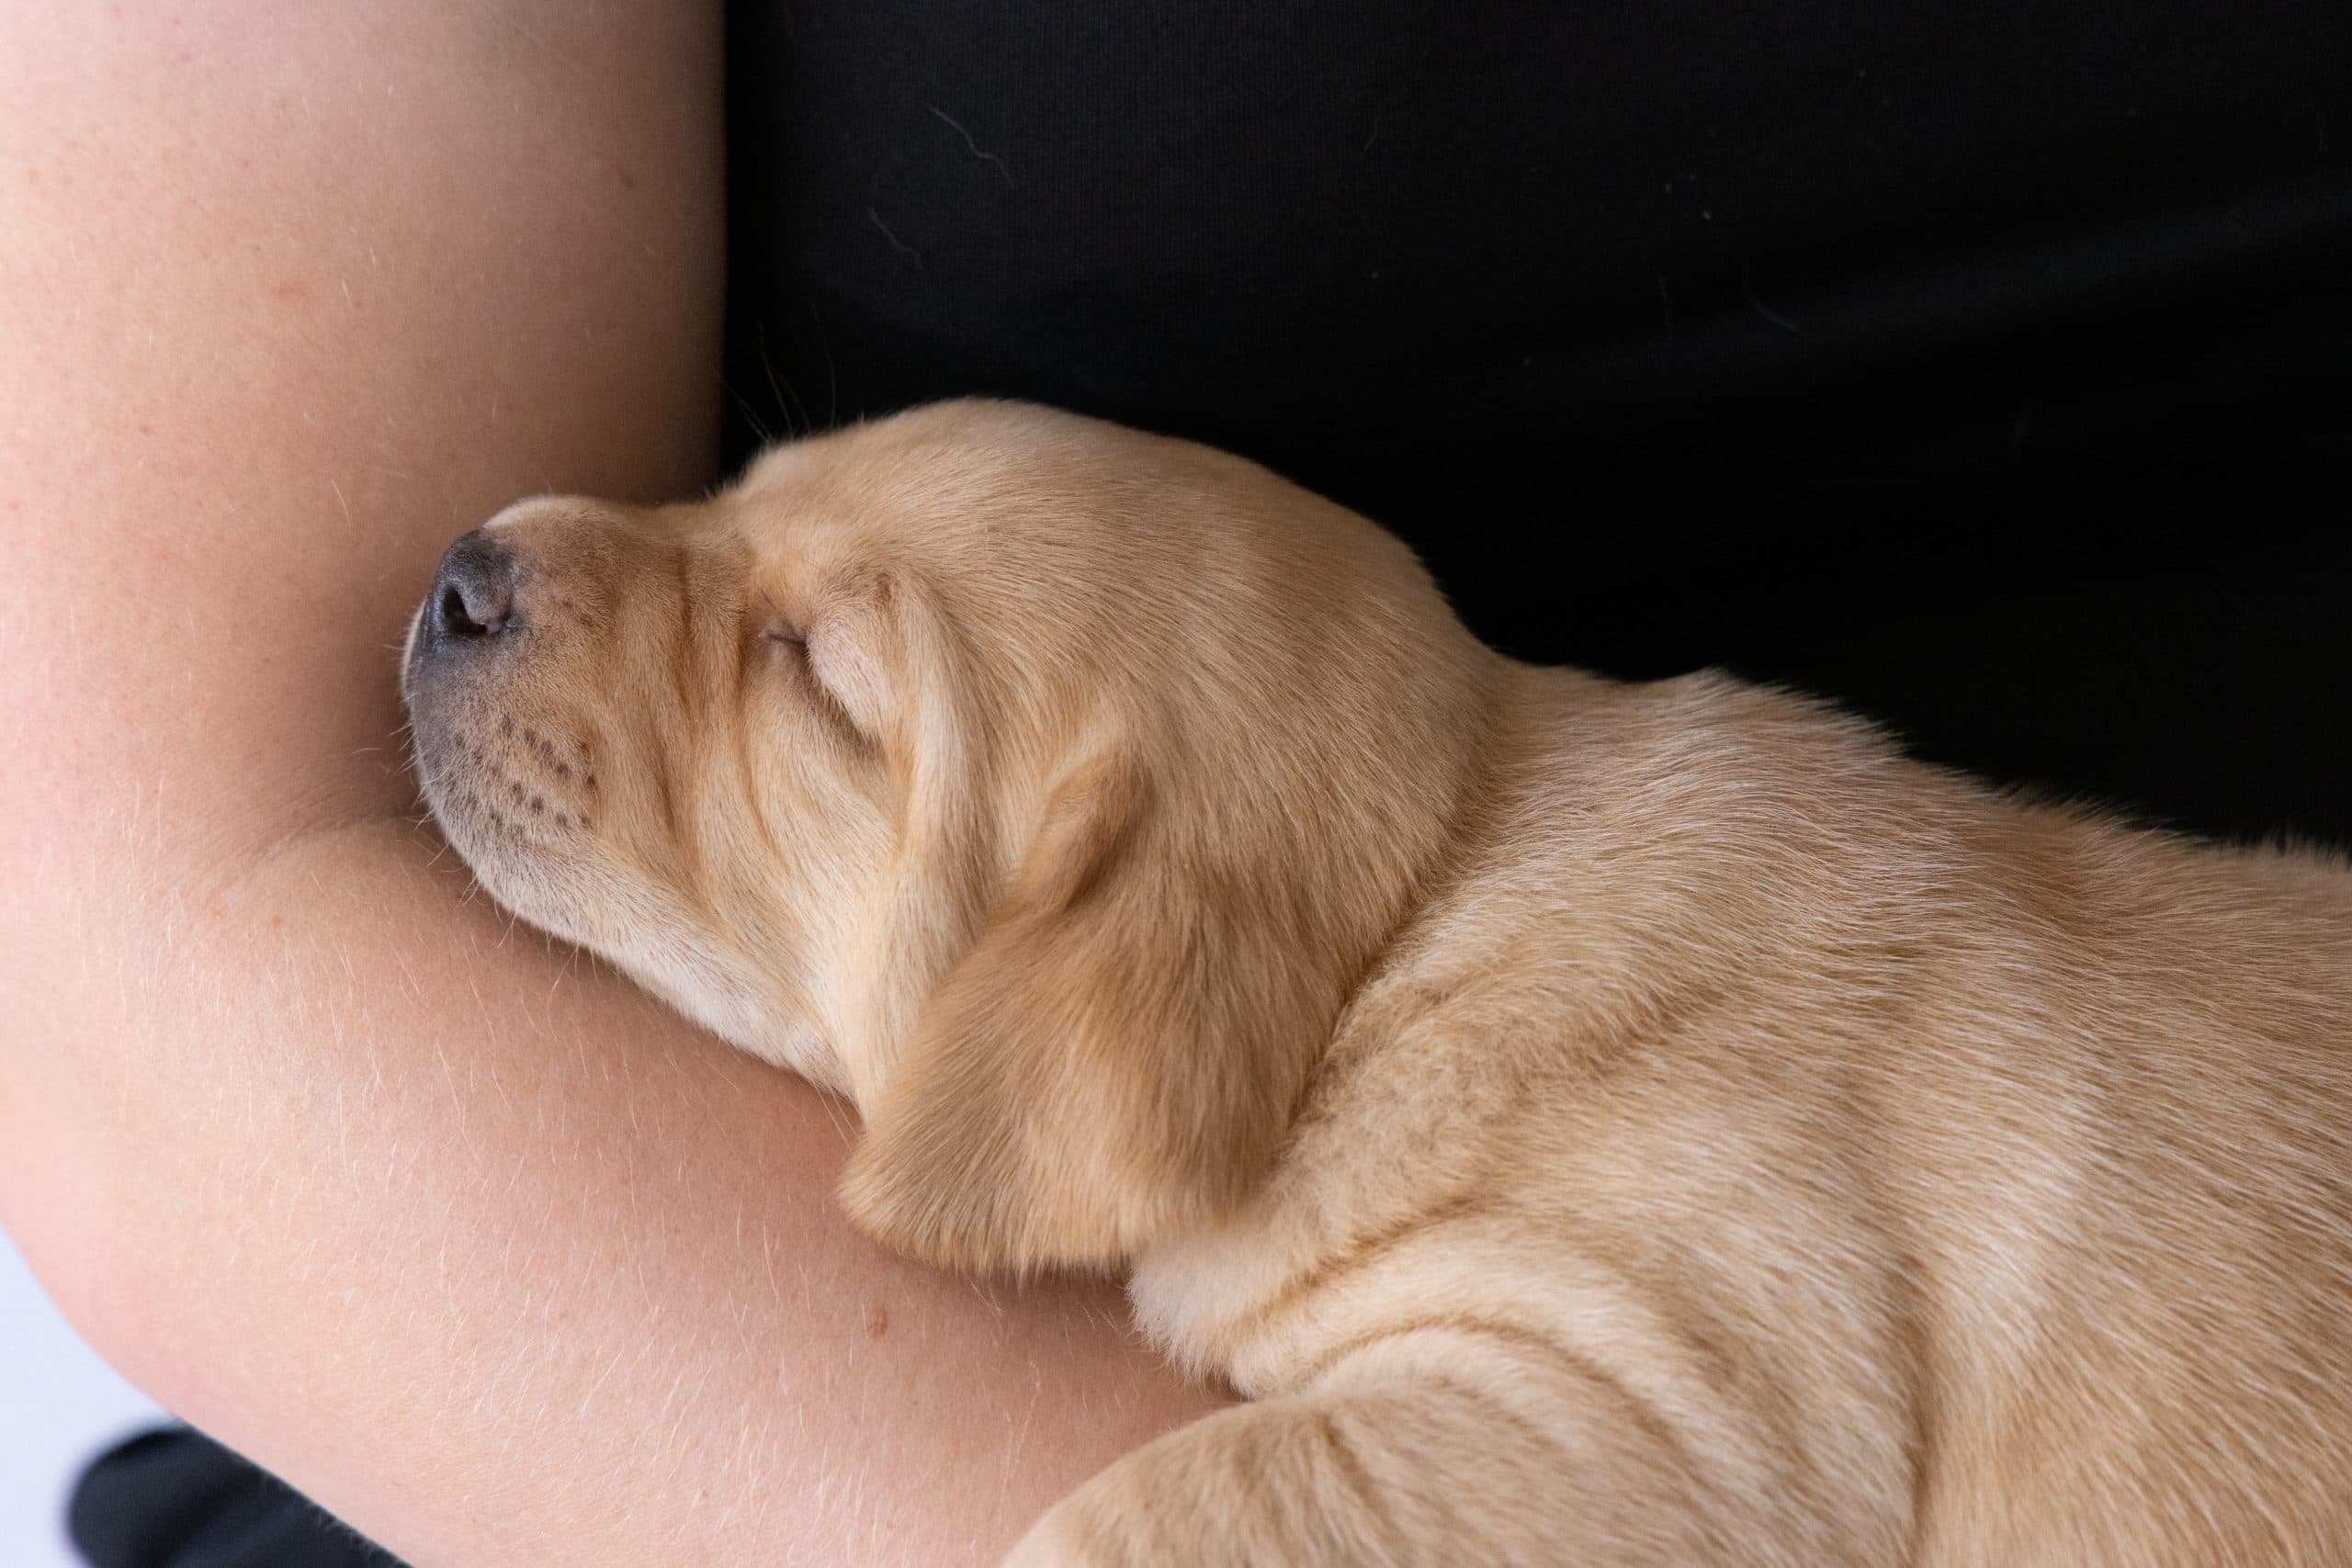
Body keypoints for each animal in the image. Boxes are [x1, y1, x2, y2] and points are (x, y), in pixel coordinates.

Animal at [404, 401, 2352, 1568]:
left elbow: (1178, 1495)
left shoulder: (1669, 1411)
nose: (455, 576)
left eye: (812, 670)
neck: (1418, 908)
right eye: (738, 491)